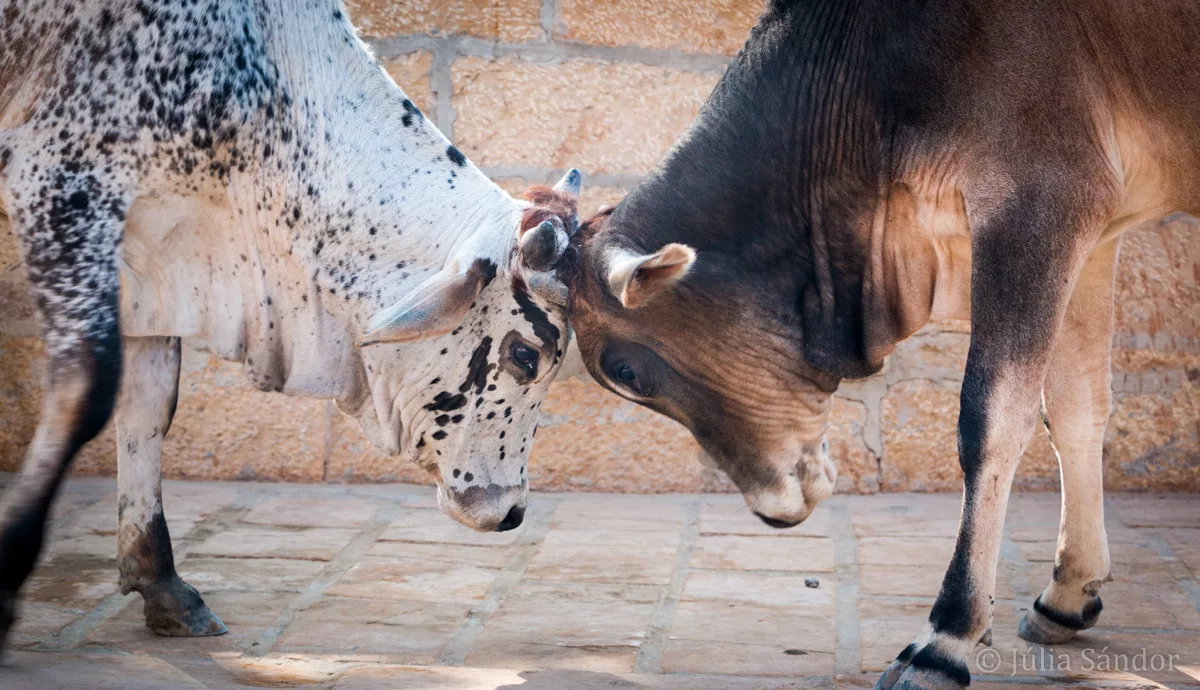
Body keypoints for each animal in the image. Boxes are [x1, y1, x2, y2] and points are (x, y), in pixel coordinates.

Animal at [0, 0, 580, 653]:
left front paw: (162, 584)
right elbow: (87, 389)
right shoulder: (62, 182)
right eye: (525, 355)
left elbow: (149, 406)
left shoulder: (156, 257)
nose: (511, 511)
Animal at [563, 1, 1200, 687]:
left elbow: (991, 422)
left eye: (626, 370)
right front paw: (1069, 592)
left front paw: (946, 638)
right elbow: (1077, 411)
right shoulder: (1095, 232)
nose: (770, 513)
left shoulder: (1041, 200)